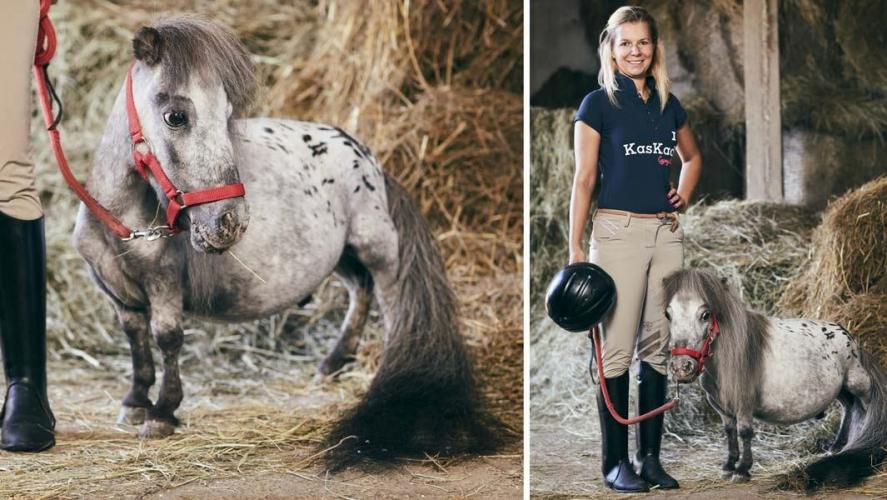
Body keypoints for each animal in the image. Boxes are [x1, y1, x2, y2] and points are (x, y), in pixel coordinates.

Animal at [72, 15, 502, 470]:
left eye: (227, 114)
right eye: (175, 116)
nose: (230, 222)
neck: (120, 220)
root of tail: (370, 159)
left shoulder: (165, 285)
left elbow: (167, 338)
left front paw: (162, 413)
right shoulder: (118, 293)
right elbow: (136, 340)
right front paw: (135, 402)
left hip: (377, 247)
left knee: (389, 300)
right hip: (341, 256)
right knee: (360, 291)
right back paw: (333, 363)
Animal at [663, 269, 887, 490]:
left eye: (705, 315)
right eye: (668, 314)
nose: (681, 367)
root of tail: (851, 339)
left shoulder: (744, 406)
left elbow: (744, 432)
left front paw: (742, 470)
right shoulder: (723, 409)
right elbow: (730, 432)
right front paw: (728, 466)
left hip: (857, 384)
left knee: (865, 407)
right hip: (841, 390)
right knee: (848, 406)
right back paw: (837, 446)